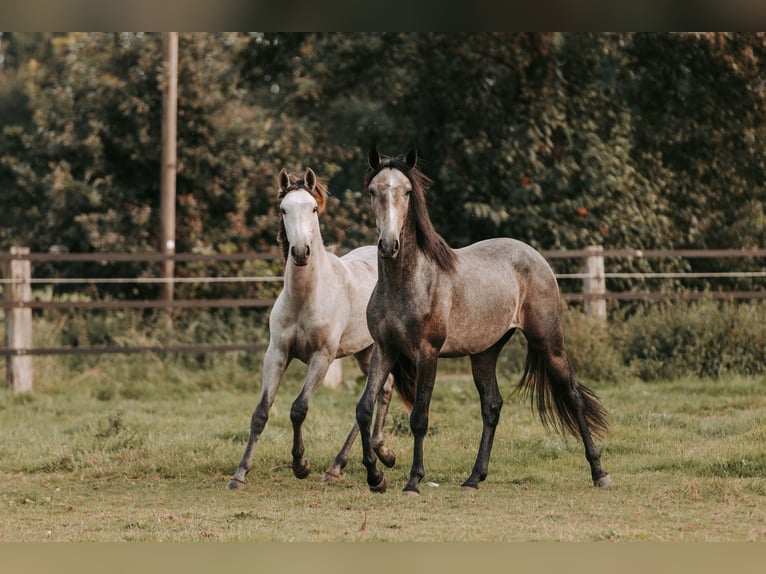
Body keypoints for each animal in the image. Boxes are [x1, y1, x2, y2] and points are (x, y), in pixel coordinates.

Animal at [356, 147, 616, 496]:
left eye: (407, 191)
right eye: (373, 191)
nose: (388, 244)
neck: (407, 283)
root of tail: (536, 257)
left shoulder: (427, 354)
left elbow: (419, 418)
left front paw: (413, 481)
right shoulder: (385, 350)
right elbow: (364, 409)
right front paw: (376, 477)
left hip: (548, 341)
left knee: (573, 396)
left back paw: (599, 472)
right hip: (485, 353)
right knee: (492, 407)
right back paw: (474, 478)